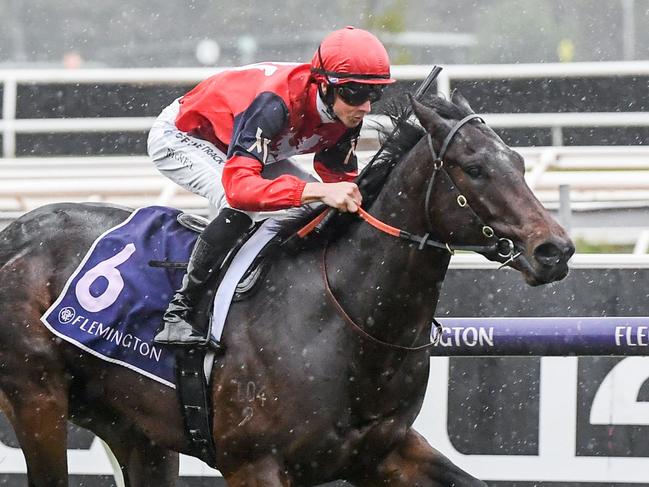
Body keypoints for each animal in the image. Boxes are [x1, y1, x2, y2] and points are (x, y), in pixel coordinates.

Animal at [0, 92, 572, 487]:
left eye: (519, 163)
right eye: (474, 169)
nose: (556, 250)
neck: (343, 320)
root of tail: (14, 234)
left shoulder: (383, 453)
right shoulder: (255, 463)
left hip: (132, 428)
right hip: (36, 397)